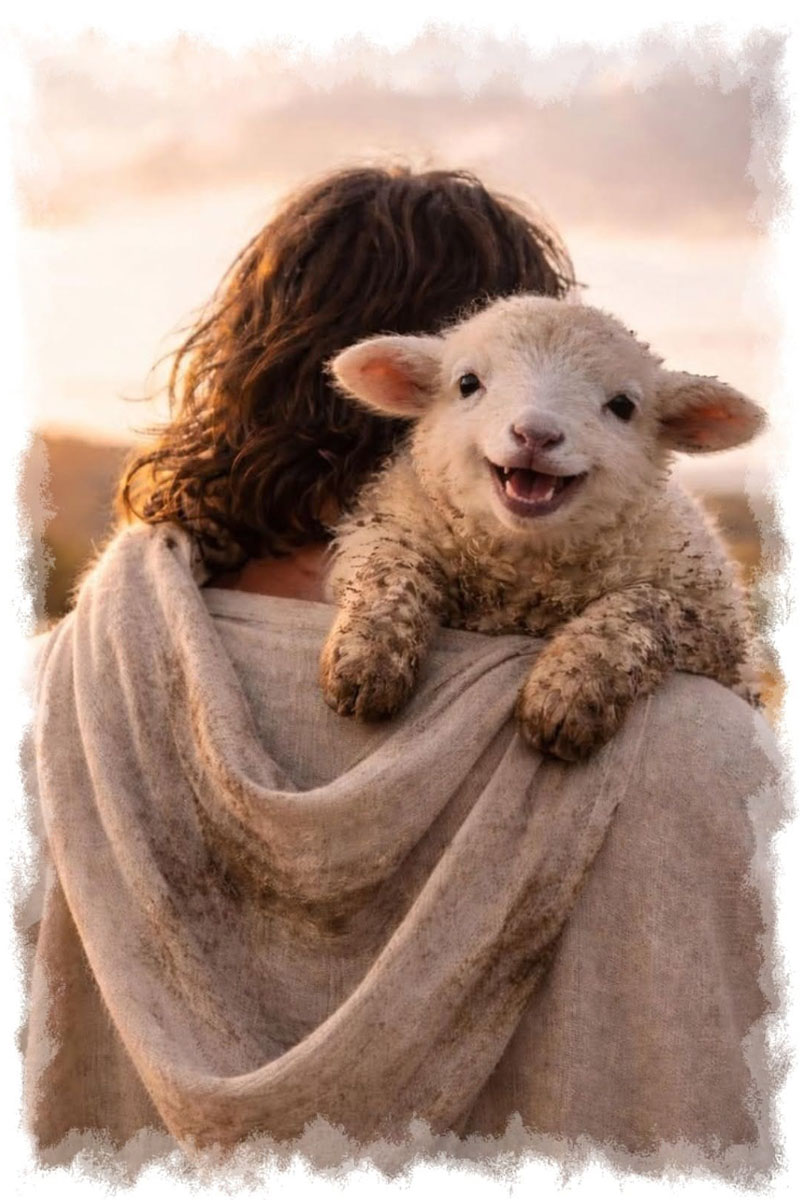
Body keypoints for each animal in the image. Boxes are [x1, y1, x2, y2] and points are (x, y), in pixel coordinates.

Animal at [319, 295, 766, 761]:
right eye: (467, 383)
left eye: (623, 406)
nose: (535, 434)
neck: (525, 574)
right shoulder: (381, 526)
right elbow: (389, 566)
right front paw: (369, 655)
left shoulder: (717, 627)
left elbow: (642, 606)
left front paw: (569, 691)